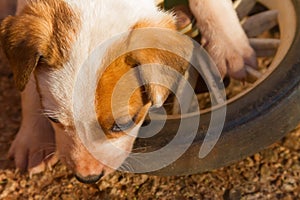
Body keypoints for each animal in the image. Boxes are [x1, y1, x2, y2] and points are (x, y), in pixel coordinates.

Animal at [1, 0, 256, 183]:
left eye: (122, 124)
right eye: (53, 120)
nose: (88, 178)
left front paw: (230, 44)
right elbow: (28, 88)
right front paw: (33, 138)